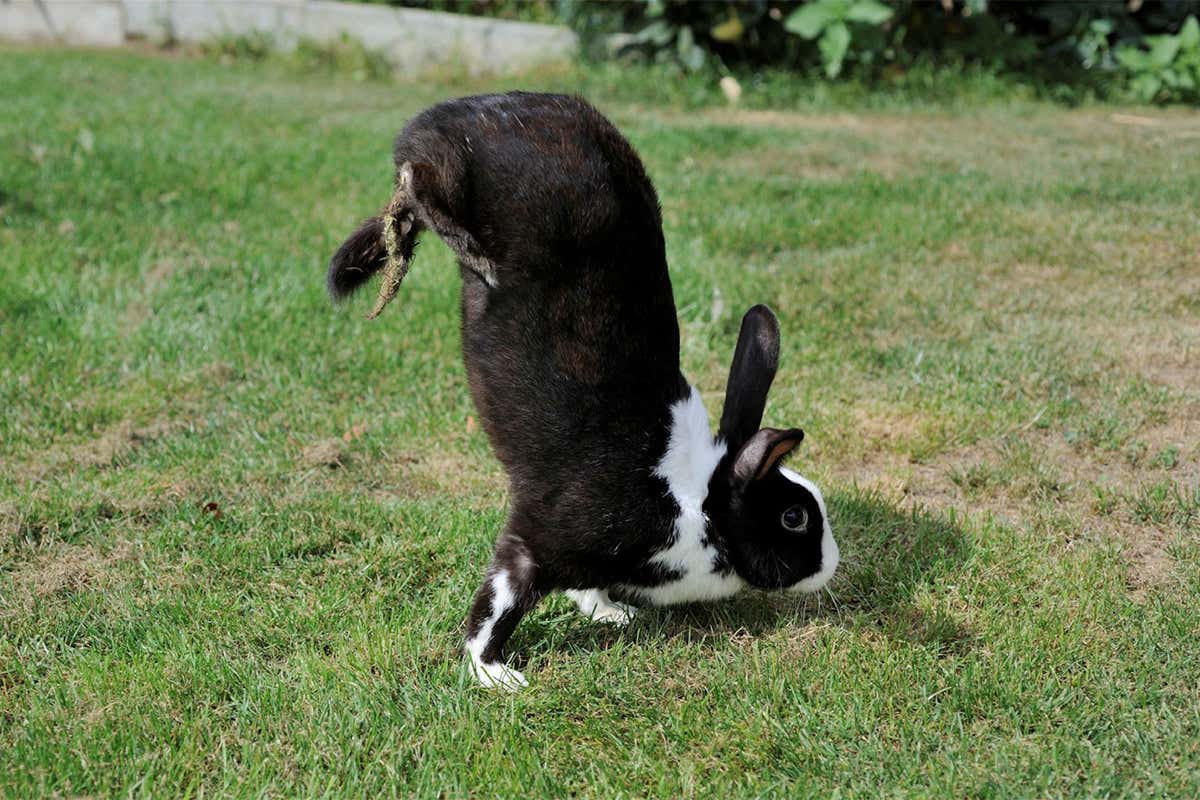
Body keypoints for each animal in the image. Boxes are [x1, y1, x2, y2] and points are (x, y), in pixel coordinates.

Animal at [327, 92, 838, 690]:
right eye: (793, 518)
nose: (830, 565)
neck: (698, 502)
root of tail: (457, 111)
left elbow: (584, 588)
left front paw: (611, 613)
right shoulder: (536, 544)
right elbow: (499, 603)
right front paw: (494, 674)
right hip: (459, 176)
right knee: (420, 182)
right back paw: (465, 249)